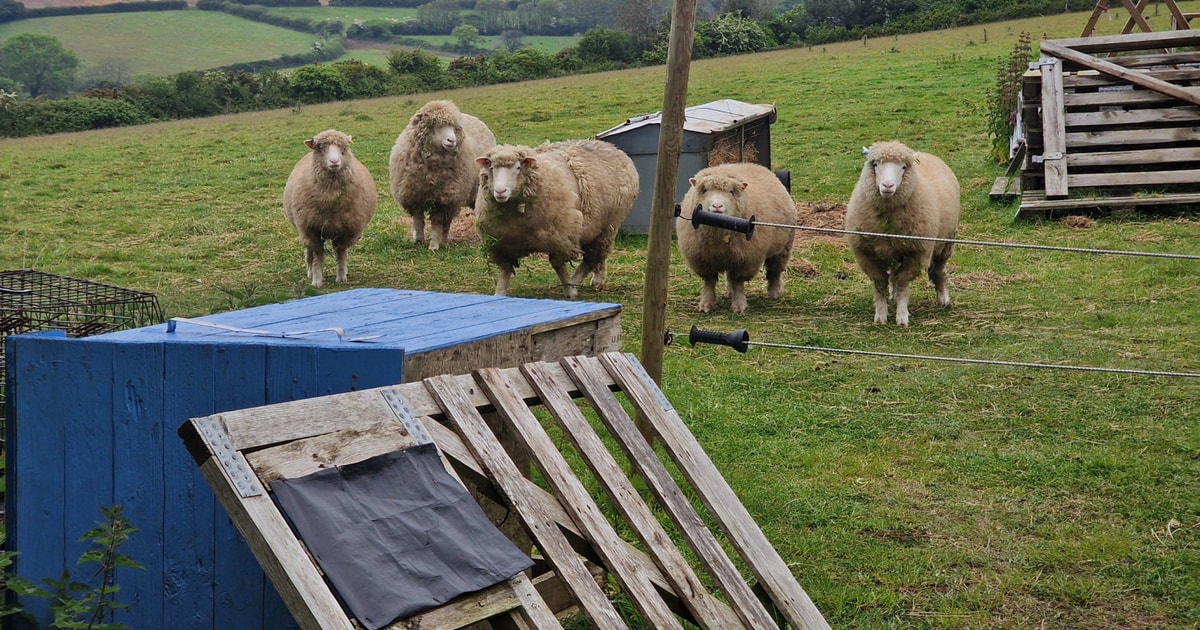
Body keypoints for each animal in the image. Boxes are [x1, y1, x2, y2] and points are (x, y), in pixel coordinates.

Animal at [282, 129, 378, 288]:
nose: (334, 161)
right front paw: (316, 280)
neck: (331, 197)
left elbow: (341, 252)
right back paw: (310, 272)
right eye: (320, 147)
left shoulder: (348, 229)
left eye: (344, 147)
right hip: (303, 228)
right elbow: (318, 256)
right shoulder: (311, 229)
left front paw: (341, 276)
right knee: (309, 252)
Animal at [388, 100, 497, 251]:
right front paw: (418, 241)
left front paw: (433, 246)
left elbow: (436, 224)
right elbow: (418, 220)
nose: (452, 140)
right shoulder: (414, 195)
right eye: (435, 125)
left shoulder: (444, 199)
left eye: (453, 126)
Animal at [474, 139, 639, 298]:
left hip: (609, 225)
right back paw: (597, 280)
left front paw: (569, 290)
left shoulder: (560, 237)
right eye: (492, 168)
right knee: (599, 256)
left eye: (518, 168)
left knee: (593, 257)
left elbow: (559, 266)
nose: (500, 191)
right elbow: (505, 269)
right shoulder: (502, 244)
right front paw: (499, 292)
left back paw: (578, 281)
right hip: (597, 228)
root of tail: (612, 147)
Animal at [675, 162, 798, 314]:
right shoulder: (703, 260)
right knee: (729, 276)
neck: (719, 229)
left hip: (782, 248)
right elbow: (709, 283)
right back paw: (730, 292)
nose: (717, 206)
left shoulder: (745, 259)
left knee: (774, 272)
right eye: (704, 190)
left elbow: (738, 282)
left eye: (731, 192)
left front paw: (739, 305)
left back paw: (773, 293)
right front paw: (706, 304)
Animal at [845, 141, 961, 326]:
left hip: (946, 242)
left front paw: (901, 316)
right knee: (893, 272)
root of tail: (925, 154)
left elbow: (903, 283)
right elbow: (880, 284)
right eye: (875, 164)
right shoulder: (866, 254)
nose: (887, 186)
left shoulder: (916, 253)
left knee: (938, 270)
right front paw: (881, 315)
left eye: (903, 167)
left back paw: (943, 298)